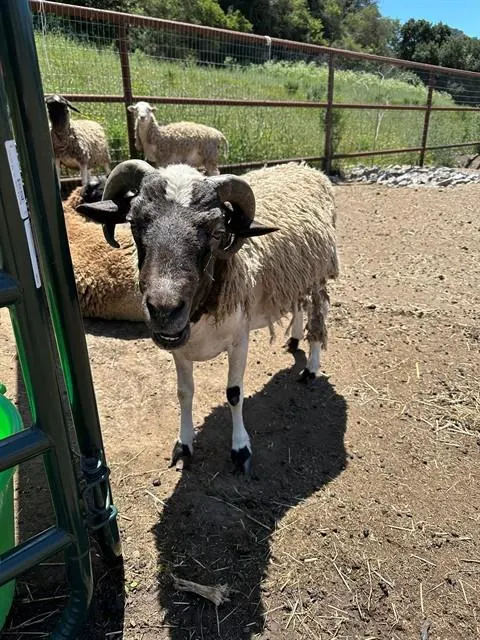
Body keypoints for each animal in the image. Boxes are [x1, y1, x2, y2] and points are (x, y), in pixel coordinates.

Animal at [76, 160, 339, 473]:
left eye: (216, 232)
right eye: (133, 222)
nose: (164, 310)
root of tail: (305, 168)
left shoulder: (239, 341)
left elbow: (234, 394)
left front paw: (240, 449)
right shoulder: (179, 348)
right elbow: (184, 393)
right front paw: (184, 443)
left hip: (319, 276)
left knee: (317, 315)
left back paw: (311, 366)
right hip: (295, 276)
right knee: (298, 303)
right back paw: (295, 339)